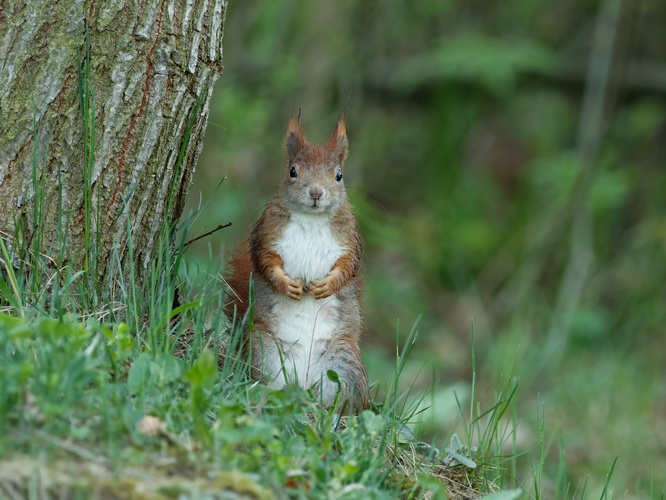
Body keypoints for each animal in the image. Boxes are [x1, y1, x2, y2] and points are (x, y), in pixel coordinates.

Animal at [226, 108, 366, 410]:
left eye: (339, 175)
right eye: (293, 171)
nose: (315, 193)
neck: (312, 219)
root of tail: (302, 384)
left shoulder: (350, 240)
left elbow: (347, 267)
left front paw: (327, 285)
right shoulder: (268, 233)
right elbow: (265, 261)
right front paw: (286, 285)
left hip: (343, 361)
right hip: (263, 351)